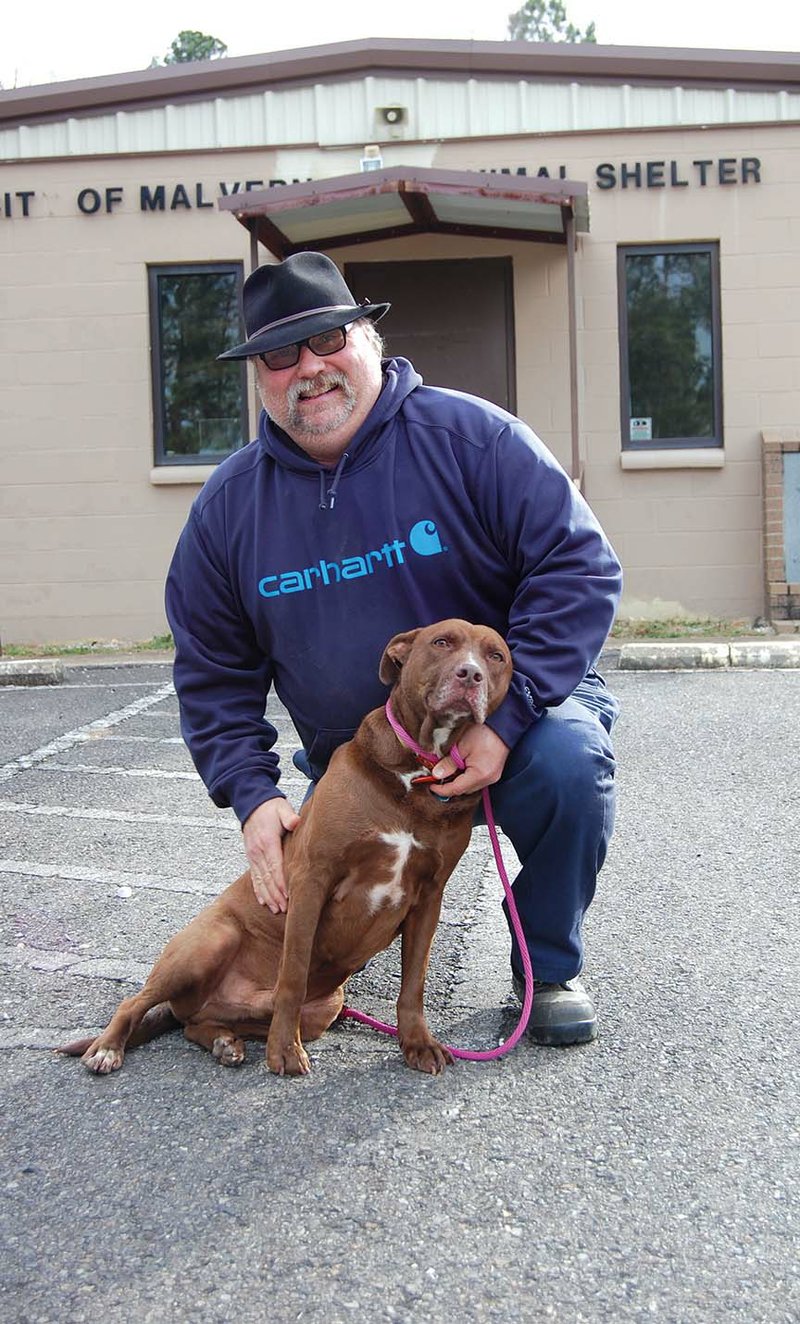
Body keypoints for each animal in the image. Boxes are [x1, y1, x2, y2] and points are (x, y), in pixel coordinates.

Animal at [62, 619, 511, 1075]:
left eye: (496, 656)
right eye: (442, 642)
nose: (470, 674)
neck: (417, 769)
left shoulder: (429, 898)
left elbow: (414, 981)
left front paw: (418, 1043)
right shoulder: (313, 878)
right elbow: (292, 974)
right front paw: (284, 1051)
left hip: (324, 1007)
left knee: (200, 1023)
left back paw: (224, 1042)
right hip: (207, 944)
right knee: (136, 1002)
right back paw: (107, 1048)